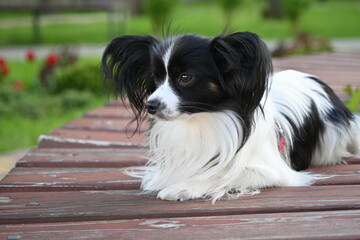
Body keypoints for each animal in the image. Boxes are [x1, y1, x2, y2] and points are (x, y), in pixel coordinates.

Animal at [101, 31, 360, 202]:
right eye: (155, 78)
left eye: (185, 78)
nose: (150, 105)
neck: (200, 119)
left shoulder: (270, 171)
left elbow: (222, 175)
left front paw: (185, 187)